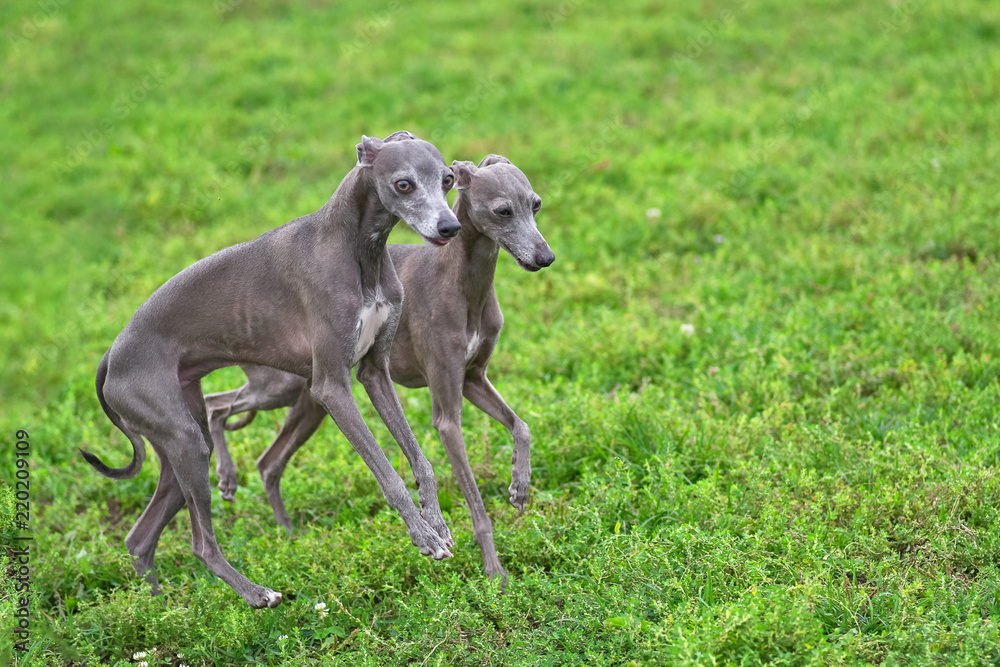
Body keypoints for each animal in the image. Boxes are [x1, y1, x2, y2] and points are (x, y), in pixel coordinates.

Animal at [82, 132, 460, 612]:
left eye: (448, 179)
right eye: (403, 184)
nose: (450, 228)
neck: (360, 250)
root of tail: (111, 355)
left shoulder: (375, 373)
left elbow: (420, 458)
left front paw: (438, 524)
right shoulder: (331, 387)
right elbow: (388, 475)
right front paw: (423, 537)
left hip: (182, 440)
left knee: (139, 538)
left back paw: (160, 609)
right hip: (185, 440)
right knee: (201, 544)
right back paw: (257, 593)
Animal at [201, 154, 556, 580]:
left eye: (535, 204)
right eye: (503, 211)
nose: (545, 258)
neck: (462, 284)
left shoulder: (473, 379)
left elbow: (522, 426)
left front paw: (519, 486)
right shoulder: (446, 415)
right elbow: (475, 503)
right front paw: (494, 573)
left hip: (308, 403)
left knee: (268, 462)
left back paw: (288, 535)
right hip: (277, 387)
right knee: (216, 405)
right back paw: (226, 479)